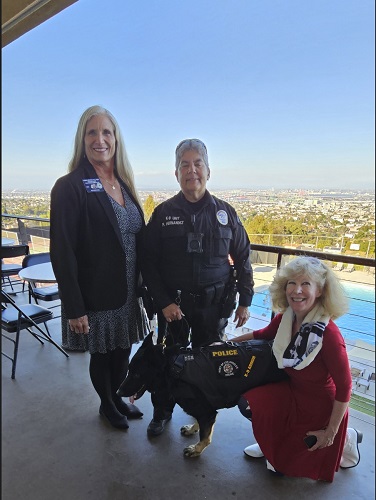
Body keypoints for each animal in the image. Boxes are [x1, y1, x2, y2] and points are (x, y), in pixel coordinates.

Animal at [117, 332, 284, 458]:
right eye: (129, 370)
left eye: (137, 374)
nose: (118, 392)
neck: (173, 368)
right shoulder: (205, 410)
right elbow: (201, 424)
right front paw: (193, 428)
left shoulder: (207, 412)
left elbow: (205, 437)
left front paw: (196, 449)